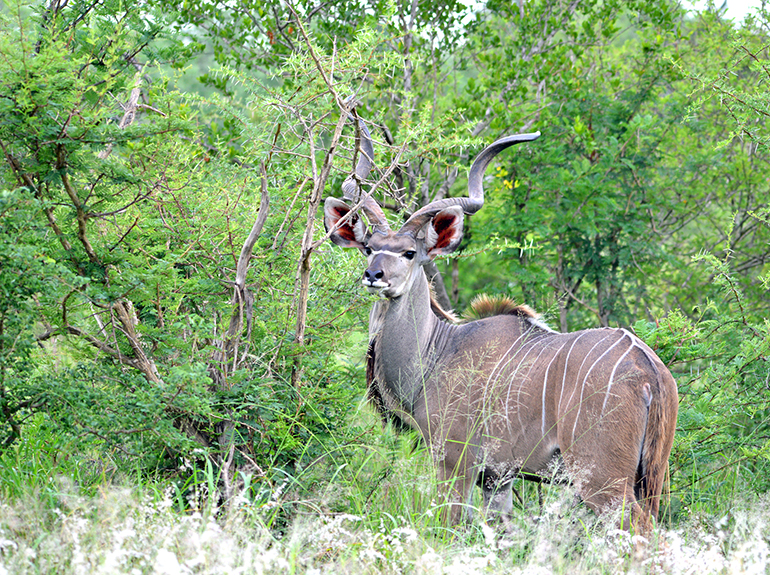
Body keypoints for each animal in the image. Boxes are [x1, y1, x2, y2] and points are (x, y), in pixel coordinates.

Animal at [320, 118, 676, 536]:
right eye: (368, 247)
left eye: (409, 253)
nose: (373, 275)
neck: (437, 352)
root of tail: (649, 372)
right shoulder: (497, 478)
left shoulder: (454, 461)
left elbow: (450, 527)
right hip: (650, 477)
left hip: (603, 478)